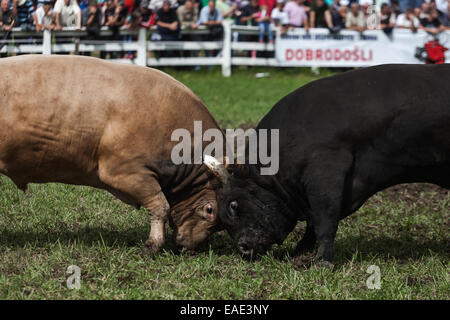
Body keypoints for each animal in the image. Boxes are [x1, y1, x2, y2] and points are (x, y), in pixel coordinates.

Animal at [216, 63, 448, 264]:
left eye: (233, 205)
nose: (243, 247)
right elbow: (313, 222)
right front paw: (300, 251)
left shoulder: (325, 170)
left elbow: (324, 218)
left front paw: (322, 260)